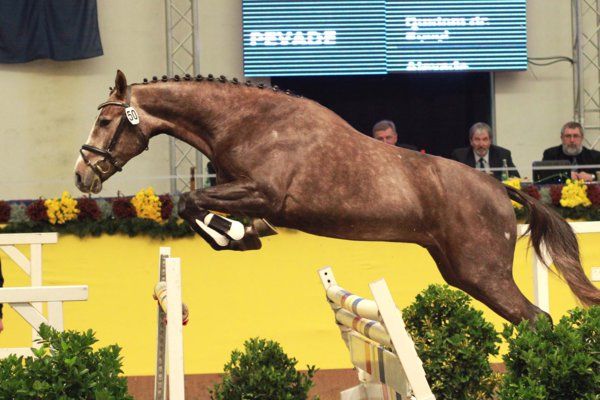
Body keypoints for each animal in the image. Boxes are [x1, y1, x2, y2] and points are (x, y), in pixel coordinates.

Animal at [75, 69, 600, 324]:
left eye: (106, 120)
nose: (83, 177)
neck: (247, 122)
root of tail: (498, 187)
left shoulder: (263, 193)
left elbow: (192, 203)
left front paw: (234, 235)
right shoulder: (243, 192)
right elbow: (194, 204)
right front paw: (240, 236)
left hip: (482, 271)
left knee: (536, 320)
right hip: (461, 272)